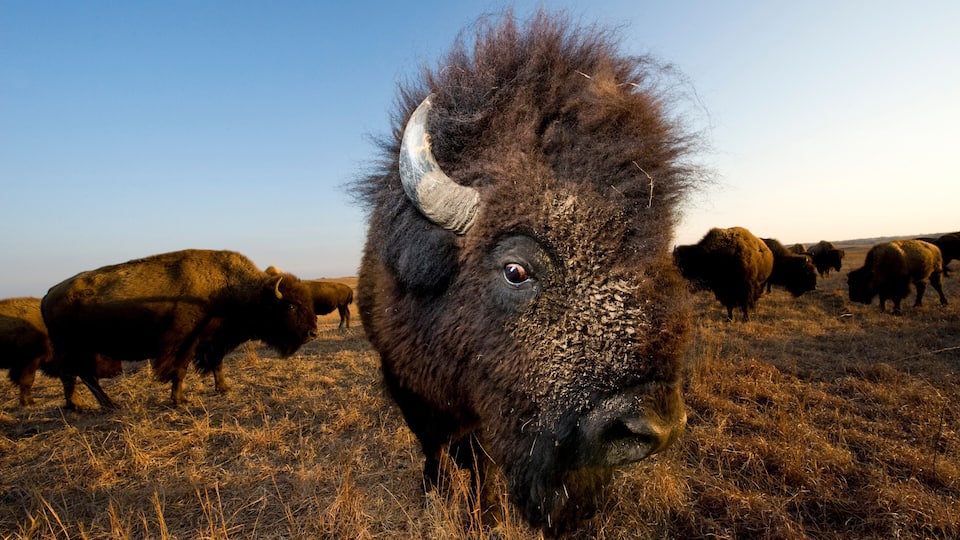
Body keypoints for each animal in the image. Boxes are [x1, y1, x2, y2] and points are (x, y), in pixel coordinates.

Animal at [41, 249, 318, 408]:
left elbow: (217, 364)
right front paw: (179, 400)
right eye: (291, 306)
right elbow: (180, 371)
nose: (312, 333)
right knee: (83, 375)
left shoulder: (214, 341)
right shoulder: (185, 342)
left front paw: (223, 388)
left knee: (72, 375)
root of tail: (49, 294)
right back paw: (108, 405)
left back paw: (77, 405)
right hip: (78, 348)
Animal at [353, 11, 704, 535]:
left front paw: (490, 514)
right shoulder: (407, 386)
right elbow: (438, 449)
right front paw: (438, 494)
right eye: (515, 269)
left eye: (657, 253)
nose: (654, 427)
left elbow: (486, 461)